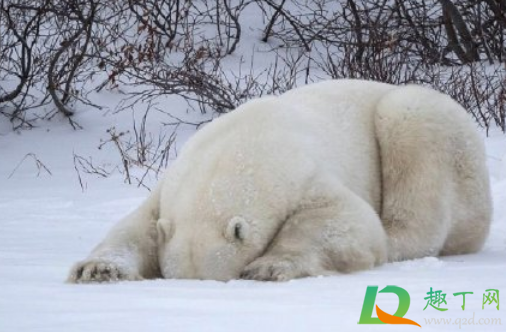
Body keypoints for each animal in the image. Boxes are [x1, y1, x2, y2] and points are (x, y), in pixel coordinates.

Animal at [67, 80, 490, 282]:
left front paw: (268, 267)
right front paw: (97, 270)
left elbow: (342, 220)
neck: (234, 154)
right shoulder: (167, 188)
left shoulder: (305, 174)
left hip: (428, 127)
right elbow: (133, 228)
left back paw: (397, 238)